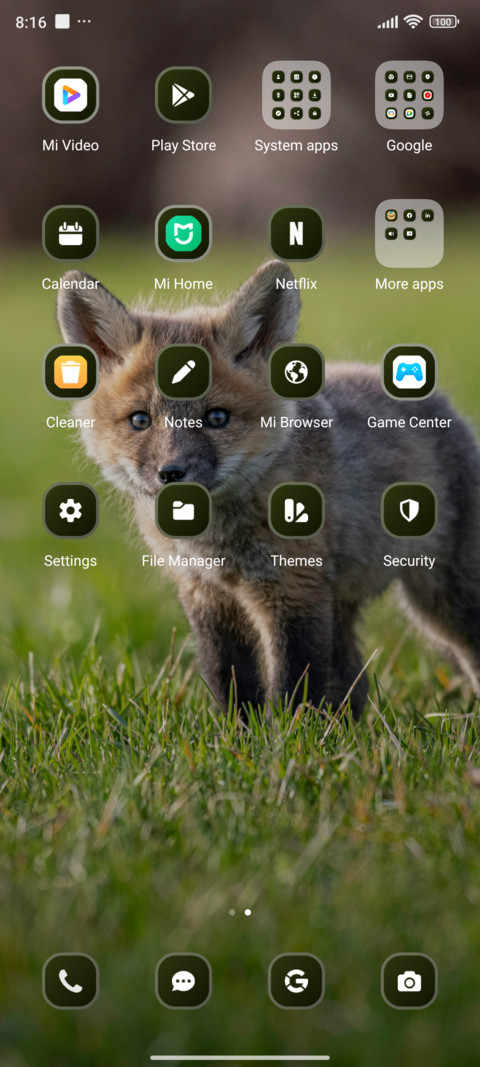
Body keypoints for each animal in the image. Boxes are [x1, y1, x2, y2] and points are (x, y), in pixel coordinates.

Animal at [56, 260, 480, 718]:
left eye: (217, 418)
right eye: (140, 420)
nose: (171, 472)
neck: (219, 541)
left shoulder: (293, 590)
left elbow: (295, 684)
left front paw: (295, 735)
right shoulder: (207, 596)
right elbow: (230, 680)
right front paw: (238, 734)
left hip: (443, 602)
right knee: (354, 681)